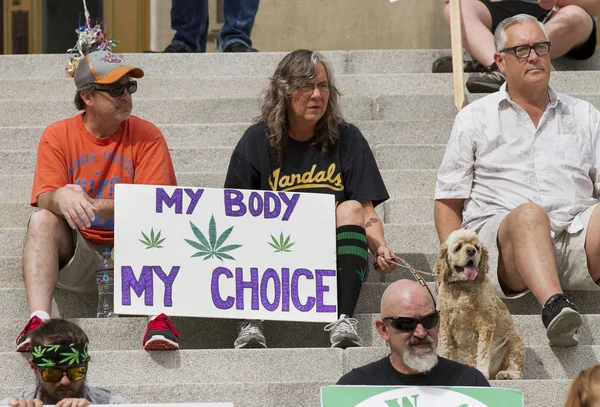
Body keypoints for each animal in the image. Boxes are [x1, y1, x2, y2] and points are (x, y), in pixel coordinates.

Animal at [434, 228, 524, 380]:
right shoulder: (445, 322)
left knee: (517, 368)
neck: (462, 287)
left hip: (514, 340)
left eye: (476, 247)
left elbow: (482, 352)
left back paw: (507, 374)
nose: (471, 251)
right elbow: (444, 346)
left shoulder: (485, 324)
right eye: (458, 247)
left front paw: (482, 371)